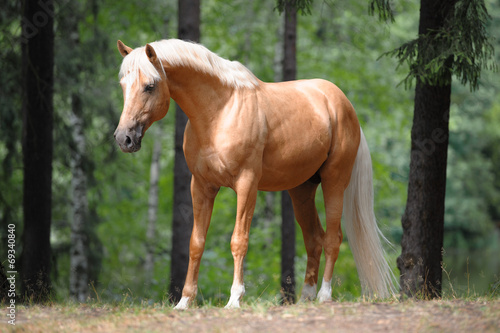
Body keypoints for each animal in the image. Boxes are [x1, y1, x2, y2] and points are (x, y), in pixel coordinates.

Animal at [115, 39, 396, 308]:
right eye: (123, 85)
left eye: (150, 86)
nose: (123, 138)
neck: (219, 113)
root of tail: (344, 105)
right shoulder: (202, 186)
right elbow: (196, 242)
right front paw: (184, 302)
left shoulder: (246, 184)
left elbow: (239, 241)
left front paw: (234, 299)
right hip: (301, 190)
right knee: (314, 239)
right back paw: (306, 297)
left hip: (334, 182)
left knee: (332, 238)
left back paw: (324, 295)